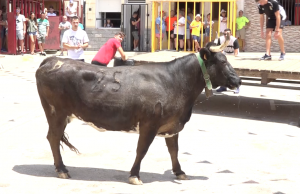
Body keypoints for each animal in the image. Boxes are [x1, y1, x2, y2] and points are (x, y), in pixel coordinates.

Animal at [35, 45, 241, 185]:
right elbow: (142, 150)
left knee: (53, 137)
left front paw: (179, 172)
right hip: (56, 112)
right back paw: (62, 169)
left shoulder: (172, 125)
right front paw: (134, 175)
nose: (238, 80)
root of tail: (51, 60)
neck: (175, 81)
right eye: (223, 62)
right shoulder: (149, 124)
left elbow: (174, 150)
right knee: (53, 137)